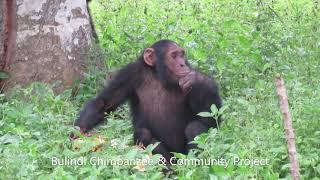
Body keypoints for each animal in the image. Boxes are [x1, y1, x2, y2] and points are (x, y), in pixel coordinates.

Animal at [75, 40, 222, 161]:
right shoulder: (129, 73)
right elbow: (105, 103)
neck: (158, 76)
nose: (182, 64)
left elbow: (211, 118)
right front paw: (77, 135)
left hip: (182, 154)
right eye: (174, 55)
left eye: (182, 55)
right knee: (144, 134)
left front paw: (197, 78)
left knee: (194, 127)